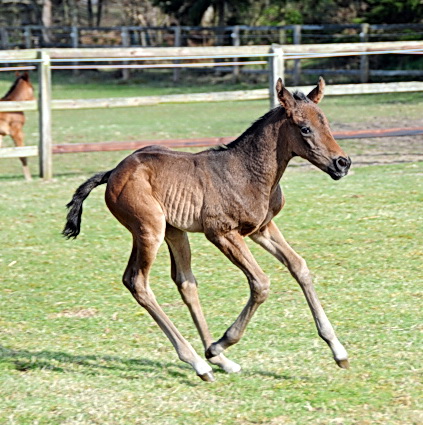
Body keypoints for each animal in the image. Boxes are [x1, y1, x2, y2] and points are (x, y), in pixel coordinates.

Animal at [63, 78, 354, 380]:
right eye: (305, 128)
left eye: (326, 123)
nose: (342, 163)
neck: (248, 172)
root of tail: (113, 172)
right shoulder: (222, 233)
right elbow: (260, 283)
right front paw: (219, 343)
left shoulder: (262, 228)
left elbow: (299, 267)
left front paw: (339, 351)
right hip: (148, 230)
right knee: (137, 282)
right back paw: (201, 361)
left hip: (173, 231)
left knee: (184, 282)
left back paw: (221, 362)